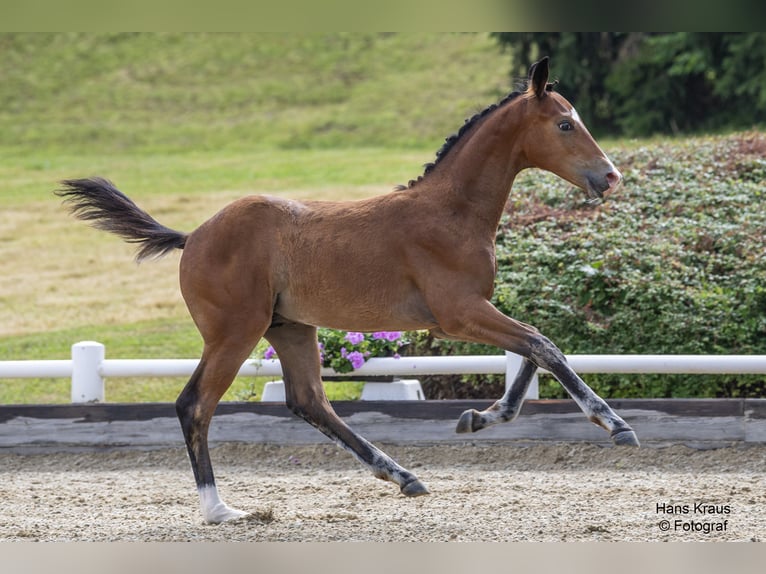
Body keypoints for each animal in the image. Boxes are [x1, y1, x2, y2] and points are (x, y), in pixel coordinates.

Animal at [57, 58, 640, 528]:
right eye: (564, 123)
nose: (610, 177)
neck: (451, 212)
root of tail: (193, 236)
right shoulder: (459, 313)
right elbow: (543, 346)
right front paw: (616, 426)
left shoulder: (473, 312)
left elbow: (532, 351)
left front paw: (478, 418)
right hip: (234, 333)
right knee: (195, 405)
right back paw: (219, 508)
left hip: (290, 328)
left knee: (309, 401)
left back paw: (403, 475)